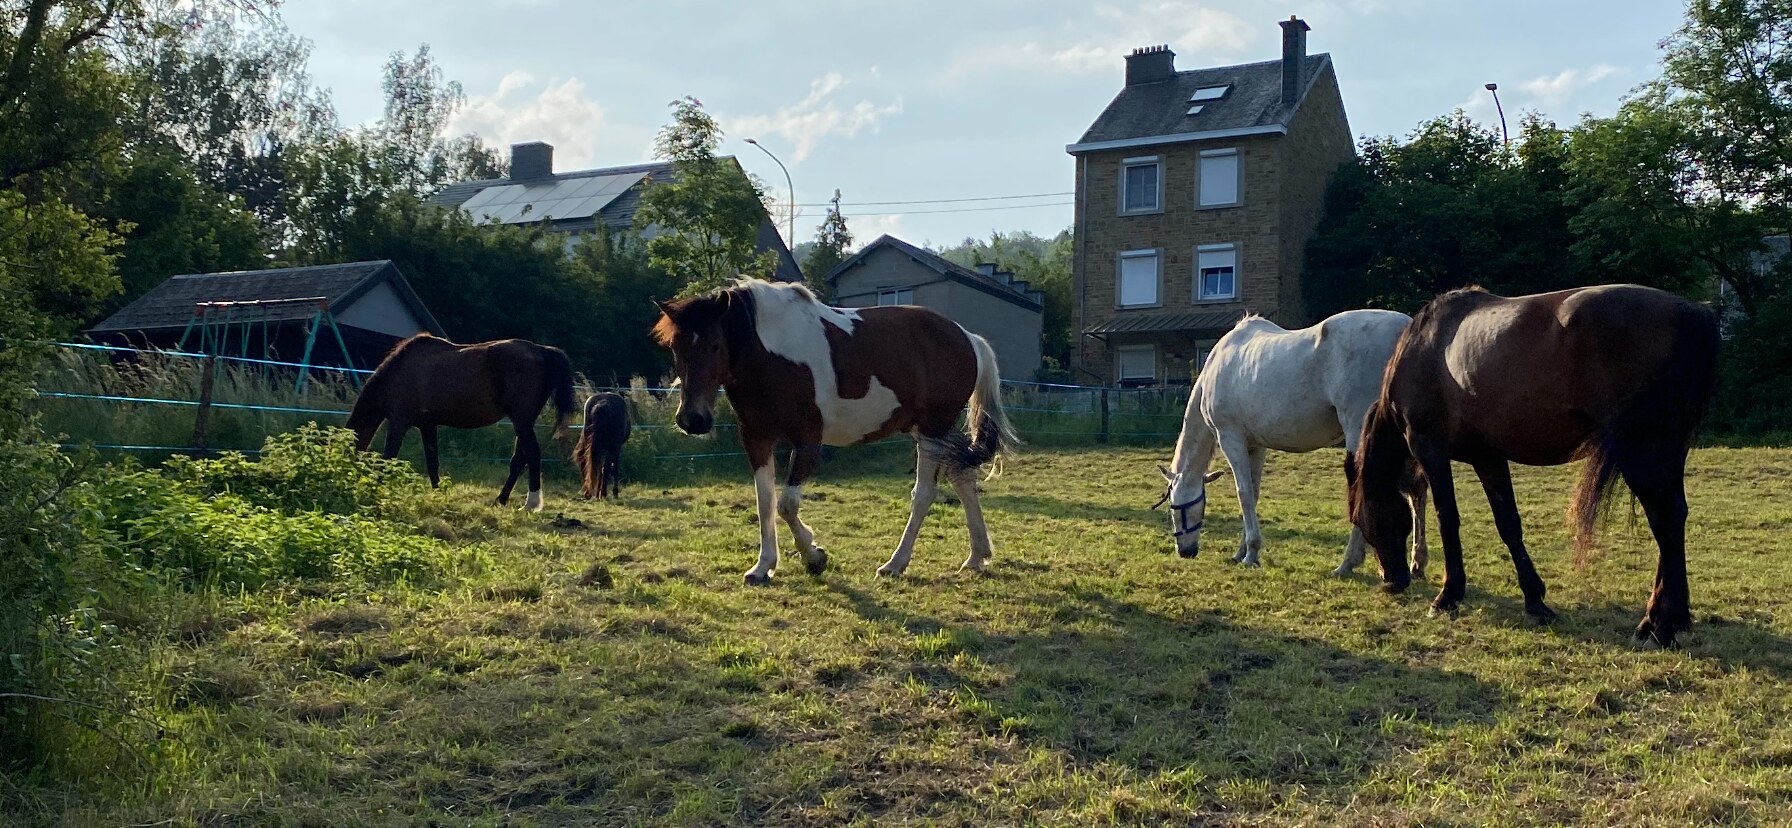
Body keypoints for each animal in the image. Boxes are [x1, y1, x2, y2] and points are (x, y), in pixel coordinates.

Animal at [346, 333, 575, 512]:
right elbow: (432, 461)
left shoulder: (398, 422)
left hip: (521, 419)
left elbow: (388, 458)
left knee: (532, 453)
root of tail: (541, 350)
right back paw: (501, 500)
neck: (398, 373)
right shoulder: (427, 426)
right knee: (520, 458)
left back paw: (531, 504)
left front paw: (376, 488)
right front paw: (437, 493)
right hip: (524, 421)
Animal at [652, 278, 1017, 585]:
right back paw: (976, 556)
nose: (692, 420)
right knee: (963, 477)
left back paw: (895, 564)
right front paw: (763, 566)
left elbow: (786, 505)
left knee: (924, 494)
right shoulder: (756, 438)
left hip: (932, 431)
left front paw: (814, 557)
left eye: (715, 344)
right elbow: (765, 502)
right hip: (931, 432)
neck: (772, 354)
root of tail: (968, 338)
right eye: (674, 346)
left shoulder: (807, 441)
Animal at [1158, 311, 1429, 575]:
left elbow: (1243, 493)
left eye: (1173, 506)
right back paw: (1416, 563)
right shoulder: (1255, 446)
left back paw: (1347, 564)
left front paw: (1251, 554)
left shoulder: (1230, 439)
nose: (1185, 551)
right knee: (1417, 492)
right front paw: (1241, 551)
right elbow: (1253, 494)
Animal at [1348, 284, 1719, 648]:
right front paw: (1535, 600)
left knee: (1665, 519)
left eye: (1362, 519)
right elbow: (1508, 524)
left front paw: (1447, 596)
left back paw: (1661, 627)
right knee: (1673, 519)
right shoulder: (1488, 457)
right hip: (1666, 455)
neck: (1424, 347)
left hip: (1642, 455)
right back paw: (1663, 620)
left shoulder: (1431, 450)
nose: (1392, 581)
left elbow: (1447, 519)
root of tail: (1691, 312)